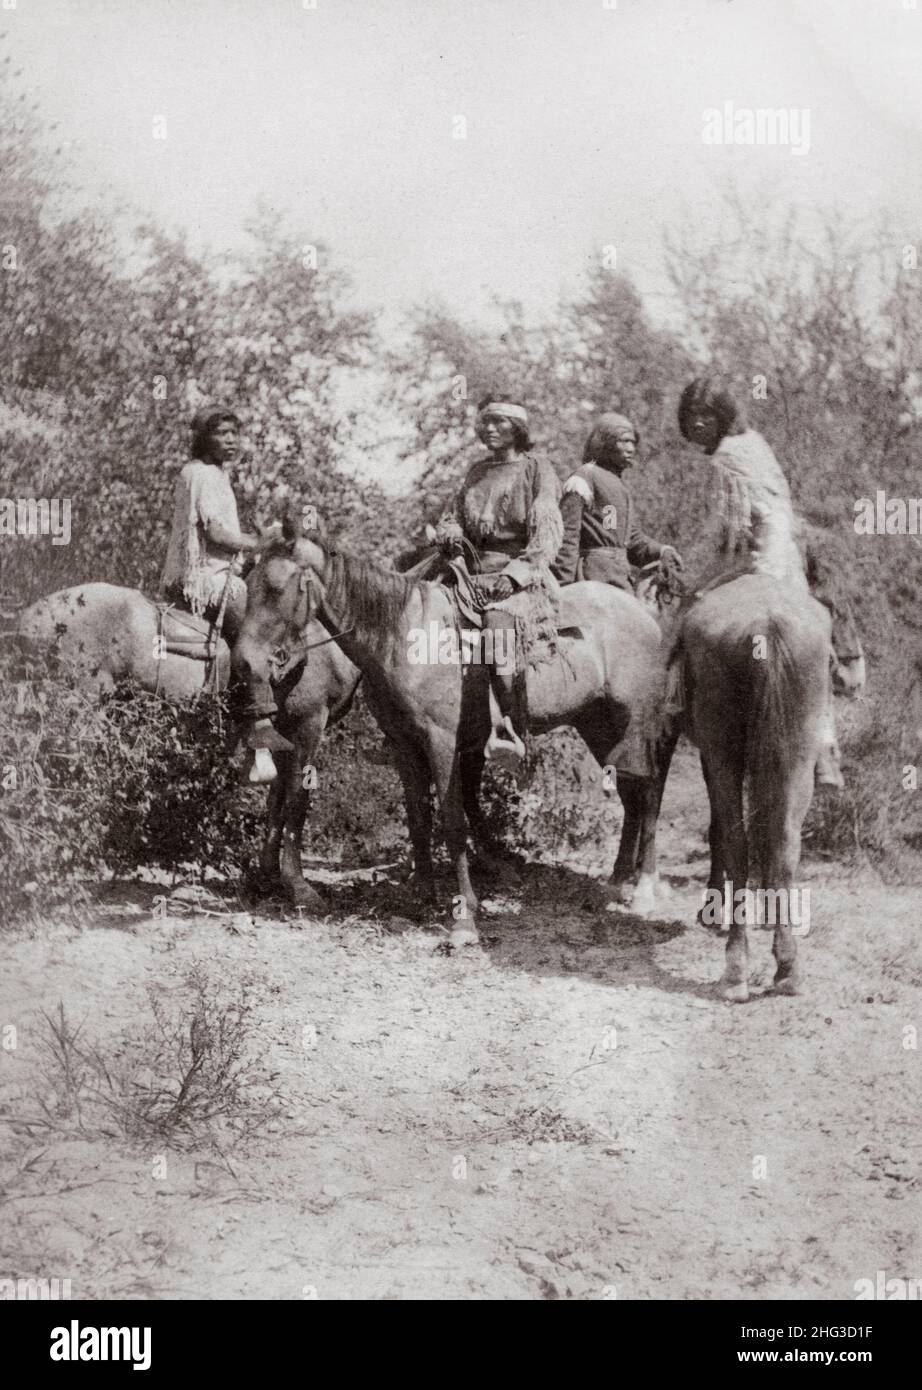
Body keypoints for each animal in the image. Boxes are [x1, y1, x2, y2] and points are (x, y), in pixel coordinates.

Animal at [15, 572, 361, 906]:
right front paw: (299, 887)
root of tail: (28, 620)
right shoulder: (308, 725)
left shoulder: (286, 735)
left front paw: (268, 879)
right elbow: (296, 802)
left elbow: (276, 802)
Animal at [230, 525, 678, 950]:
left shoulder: (442, 742)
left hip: (637, 725)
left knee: (650, 792)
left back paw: (644, 889)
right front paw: (421, 897)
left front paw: (464, 917)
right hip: (600, 727)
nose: (245, 664)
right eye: (247, 583)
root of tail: (646, 614)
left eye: (276, 587)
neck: (402, 635)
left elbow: (452, 820)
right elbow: (418, 818)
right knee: (632, 796)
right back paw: (616, 883)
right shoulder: (404, 745)